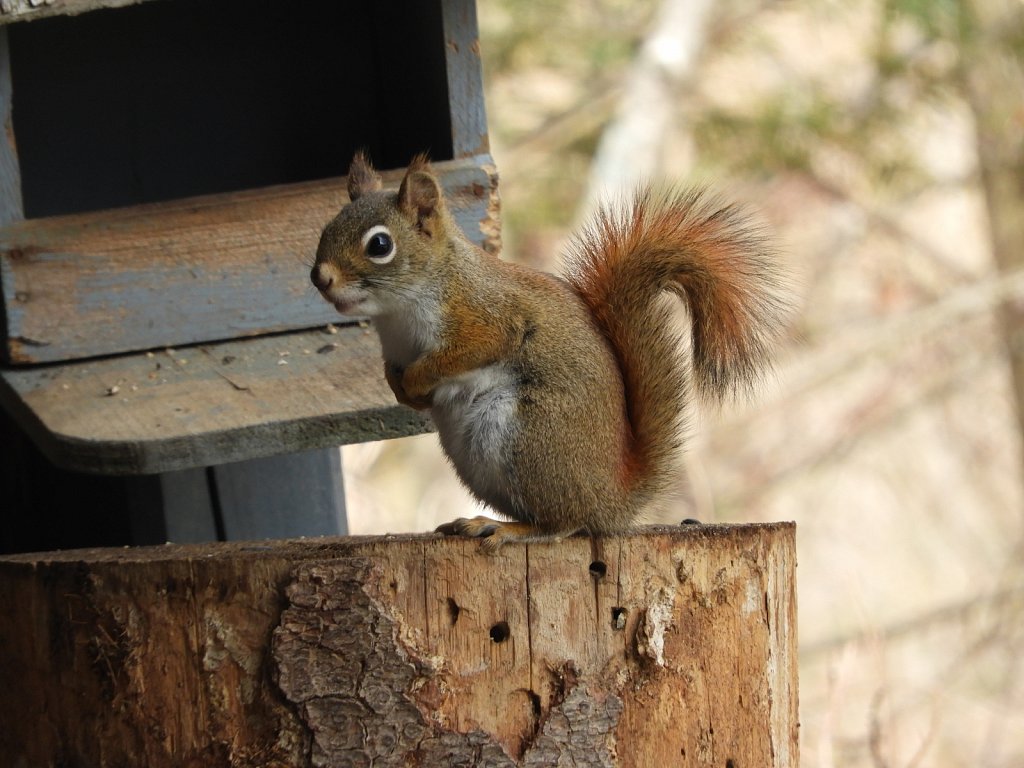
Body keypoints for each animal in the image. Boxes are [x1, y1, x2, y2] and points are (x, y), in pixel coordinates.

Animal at [307, 154, 786, 552]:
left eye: (380, 245)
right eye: (326, 228)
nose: (320, 278)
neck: (399, 313)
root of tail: (611, 500)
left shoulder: (487, 319)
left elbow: (465, 352)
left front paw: (419, 380)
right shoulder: (396, 349)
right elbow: (395, 374)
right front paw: (403, 390)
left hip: (528, 437)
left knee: (564, 524)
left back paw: (505, 528)